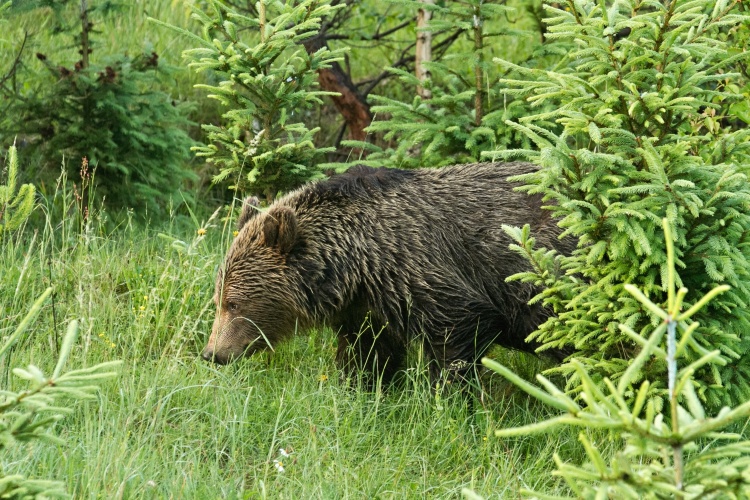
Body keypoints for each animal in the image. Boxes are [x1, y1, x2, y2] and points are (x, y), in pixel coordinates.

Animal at [203, 162, 572, 384]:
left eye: (234, 303)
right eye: (218, 299)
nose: (213, 353)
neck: (354, 265)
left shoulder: (424, 271)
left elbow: (457, 336)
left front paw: (449, 396)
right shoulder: (368, 305)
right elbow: (368, 351)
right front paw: (362, 386)